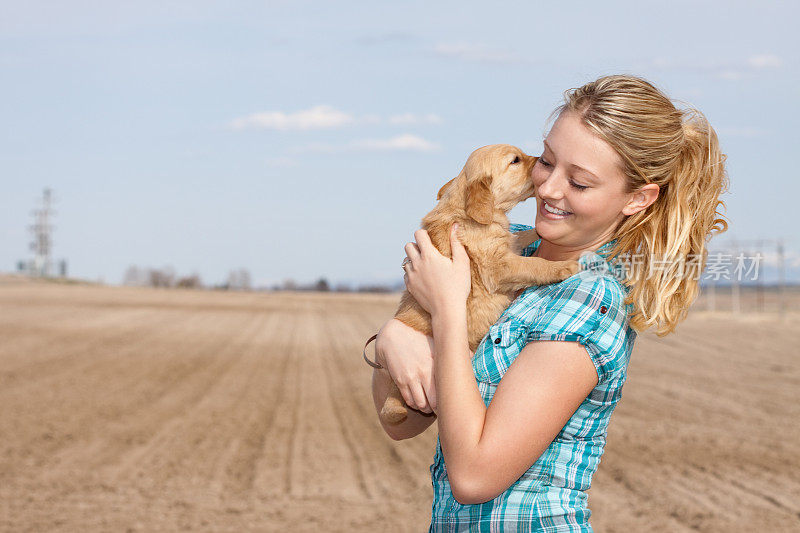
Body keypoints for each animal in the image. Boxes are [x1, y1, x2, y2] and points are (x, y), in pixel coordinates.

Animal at [378, 143, 580, 422]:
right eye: (515, 161)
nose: (543, 161)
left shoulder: (506, 246)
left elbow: (519, 236)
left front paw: (536, 232)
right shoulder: (498, 266)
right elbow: (534, 264)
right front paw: (563, 266)